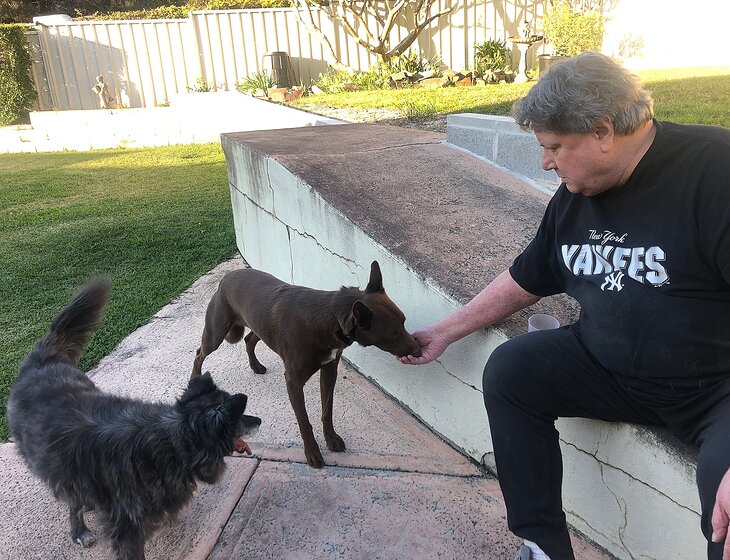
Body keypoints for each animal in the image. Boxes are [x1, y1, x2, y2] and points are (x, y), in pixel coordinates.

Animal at [8, 279, 262, 560]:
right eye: (240, 418)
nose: (259, 421)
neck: (175, 443)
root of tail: (41, 363)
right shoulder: (126, 526)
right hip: (62, 470)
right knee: (73, 501)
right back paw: (79, 530)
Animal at [191, 260, 421, 468]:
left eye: (404, 321)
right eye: (393, 335)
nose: (419, 350)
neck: (330, 319)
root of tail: (227, 277)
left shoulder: (329, 370)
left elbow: (327, 410)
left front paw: (331, 439)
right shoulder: (293, 382)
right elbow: (304, 421)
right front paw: (312, 453)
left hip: (258, 325)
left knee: (249, 339)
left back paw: (255, 366)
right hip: (216, 333)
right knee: (200, 352)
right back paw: (195, 379)